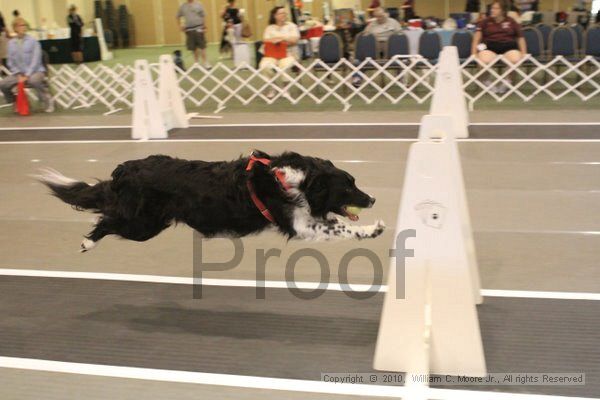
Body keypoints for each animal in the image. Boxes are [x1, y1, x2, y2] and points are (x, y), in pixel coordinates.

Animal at [37, 150, 384, 250]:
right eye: (348, 187)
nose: (373, 199)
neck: (300, 180)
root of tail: (126, 169)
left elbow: (337, 223)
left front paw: (370, 228)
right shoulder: (299, 224)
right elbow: (341, 228)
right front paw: (372, 229)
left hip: (150, 223)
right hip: (142, 225)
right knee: (106, 219)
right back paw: (88, 242)